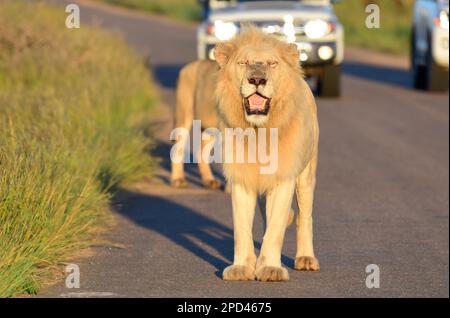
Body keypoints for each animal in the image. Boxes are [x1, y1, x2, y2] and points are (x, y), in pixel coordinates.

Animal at [170, 59, 222, 189]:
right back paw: (178, 180)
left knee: (201, 152)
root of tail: (186, 67)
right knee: (178, 148)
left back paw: (209, 180)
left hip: (209, 129)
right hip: (184, 115)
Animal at [214, 26, 320, 280]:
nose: (257, 80)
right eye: (243, 62)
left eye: (272, 63)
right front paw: (242, 267)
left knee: (304, 216)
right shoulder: (241, 178)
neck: (259, 132)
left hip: (306, 175)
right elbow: (241, 228)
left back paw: (306, 259)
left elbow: (276, 227)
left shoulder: (284, 178)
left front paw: (270, 268)